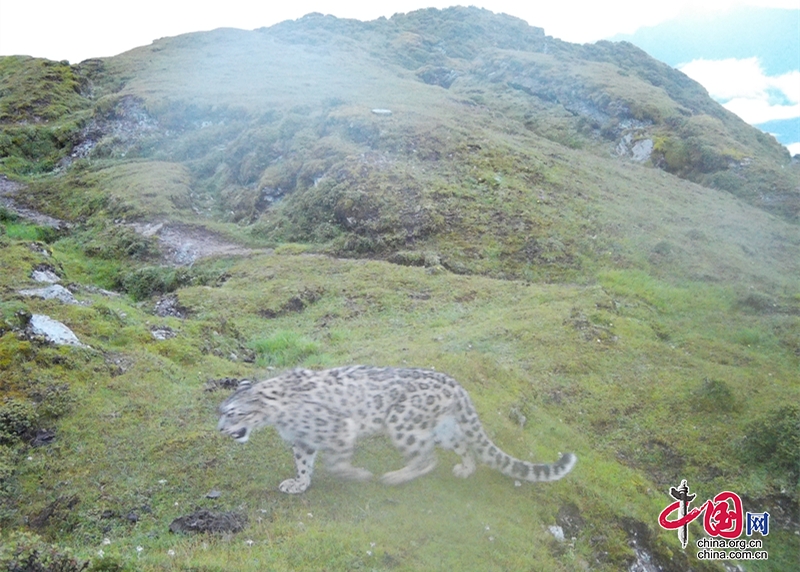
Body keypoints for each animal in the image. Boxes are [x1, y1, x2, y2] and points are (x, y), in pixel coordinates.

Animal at [219, 366, 580, 492]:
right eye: (219, 412)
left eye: (233, 413)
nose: (221, 430)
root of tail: (455, 384)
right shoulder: (303, 441)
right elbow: (304, 464)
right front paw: (298, 483)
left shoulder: (338, 428)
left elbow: (336, 463)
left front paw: (358, 475)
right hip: (443, 428)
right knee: (464, 445)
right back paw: (465, 468)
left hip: (402, 422)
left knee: (427, 459)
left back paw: (394, 477)